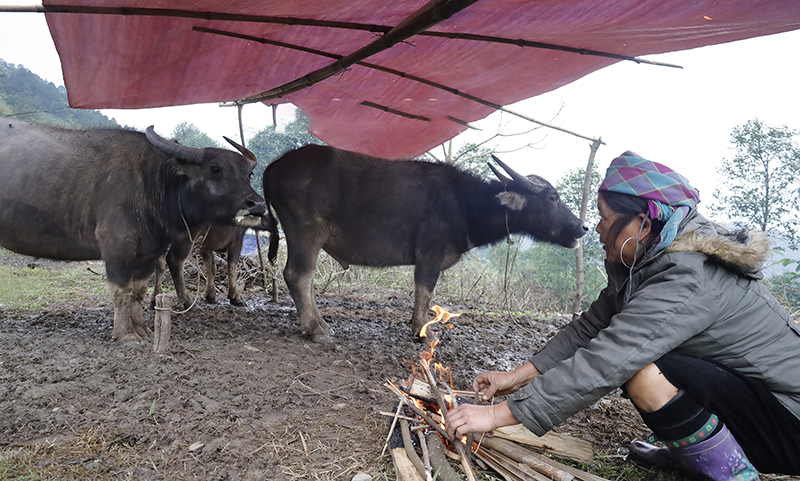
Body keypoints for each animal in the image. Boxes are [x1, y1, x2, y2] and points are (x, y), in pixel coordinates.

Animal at [0, 118, 268, 344]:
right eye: (215, 168)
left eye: (249, 173)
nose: (257, 204)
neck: (153, 183)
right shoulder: (117, 248)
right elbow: (121, 292)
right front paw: (125, 334)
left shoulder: (150, 252)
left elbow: (138, 291)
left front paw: (143, 329)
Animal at [264, 144, 588, 344]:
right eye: (553, 198)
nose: (582, 227)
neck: (464, 203)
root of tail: (273, 167)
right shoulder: (430, 255)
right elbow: (425, 292)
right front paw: (422, 330)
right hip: (306, 233)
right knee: (298, 275)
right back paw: (315, 328)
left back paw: (320, 322)